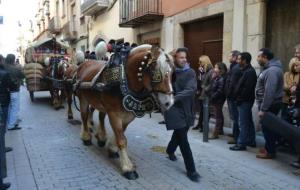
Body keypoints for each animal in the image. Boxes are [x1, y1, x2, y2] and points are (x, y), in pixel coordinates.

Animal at [64, 45, 175, 180]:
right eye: (156, 73)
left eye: (172, 72)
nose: (169, 102)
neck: (124, 79)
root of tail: (81, 65)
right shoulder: (114, 114)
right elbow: (122, 140)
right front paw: (127, 167)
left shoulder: (128, 115)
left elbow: (121, 133)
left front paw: (112, 148)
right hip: (83, 98)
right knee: (84, 117)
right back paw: (86, 137)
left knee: (100, 117)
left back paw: (101, 137)